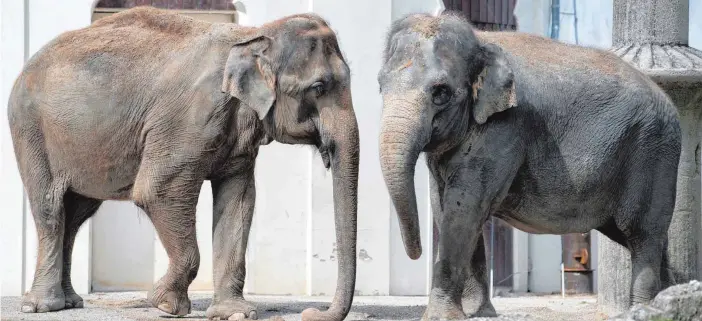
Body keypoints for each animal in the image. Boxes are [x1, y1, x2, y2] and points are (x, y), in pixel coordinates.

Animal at [9, 6, 364, 320]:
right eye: (319, 87)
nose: (311, 312)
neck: (251, 36)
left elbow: (239, 200)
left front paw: (234, 313)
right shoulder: (187, 120)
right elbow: (157, 191)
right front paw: (166, 305)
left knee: (76, 214)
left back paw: (70, 302)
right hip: (30, 130)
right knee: (50, 209)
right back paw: (42, 307)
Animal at [380, 11, 680, 318]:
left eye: (441, 92)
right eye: (380, 86)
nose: (415, 253)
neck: (480, 41)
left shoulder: (504, 127)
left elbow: (465, 207)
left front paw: (442, 317)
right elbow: (445, 209)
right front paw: (480, 313)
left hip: (653, 152)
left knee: (642, 233)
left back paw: (645, 309)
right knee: (646, 239)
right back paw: (671, 297)